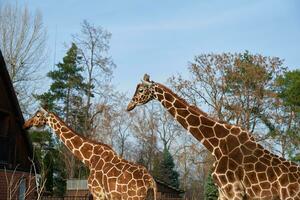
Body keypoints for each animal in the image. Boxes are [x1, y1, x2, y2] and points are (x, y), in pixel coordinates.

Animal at [23, 108, 157, 200]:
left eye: (37, 115)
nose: (26, 124)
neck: (89, 158)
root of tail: (150, 181)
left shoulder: (98, 193)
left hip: (132, 197)